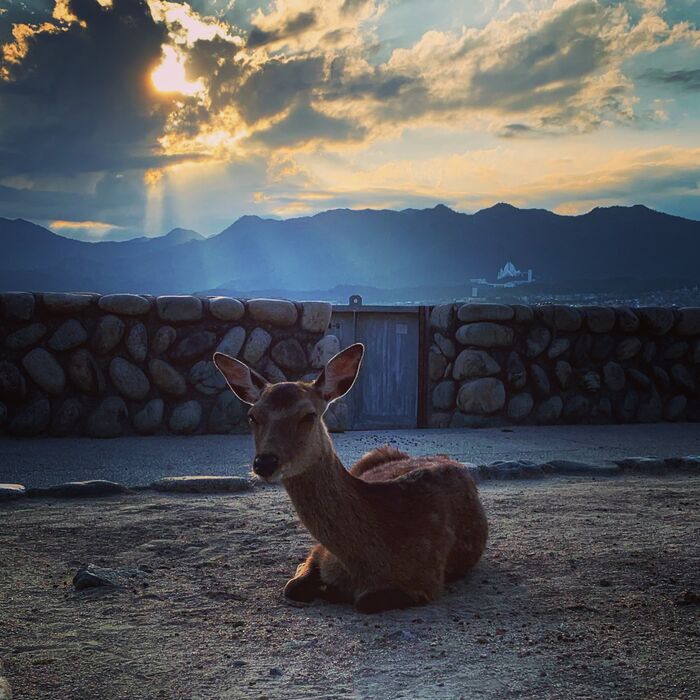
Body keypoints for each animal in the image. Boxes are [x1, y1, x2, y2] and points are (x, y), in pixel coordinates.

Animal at [212, 344, 486, 612]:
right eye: (253, 416)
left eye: (308, 415)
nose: (265, 462)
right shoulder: (318, 551)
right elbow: (292, 587)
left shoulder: (426, 580)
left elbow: (365, 602)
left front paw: (332, 592)